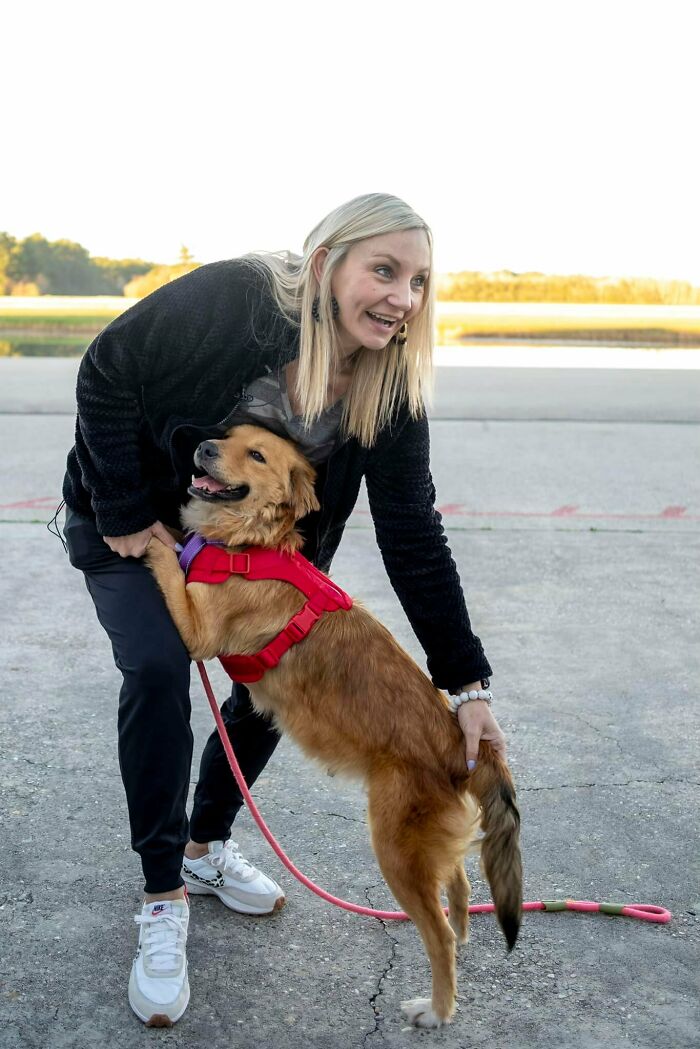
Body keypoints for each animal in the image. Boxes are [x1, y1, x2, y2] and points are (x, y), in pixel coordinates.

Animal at [146, 421, 520, 1028]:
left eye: (255, 453)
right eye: (227, 434)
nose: (202, 447)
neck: (249, 545)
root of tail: (460, 741)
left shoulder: (197, 631)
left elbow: (166, 559)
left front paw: (149, 536)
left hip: (395, 849)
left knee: (437, 934)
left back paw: (437, 1009)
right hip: (424, 846)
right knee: (458, 883)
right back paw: (463, 934)